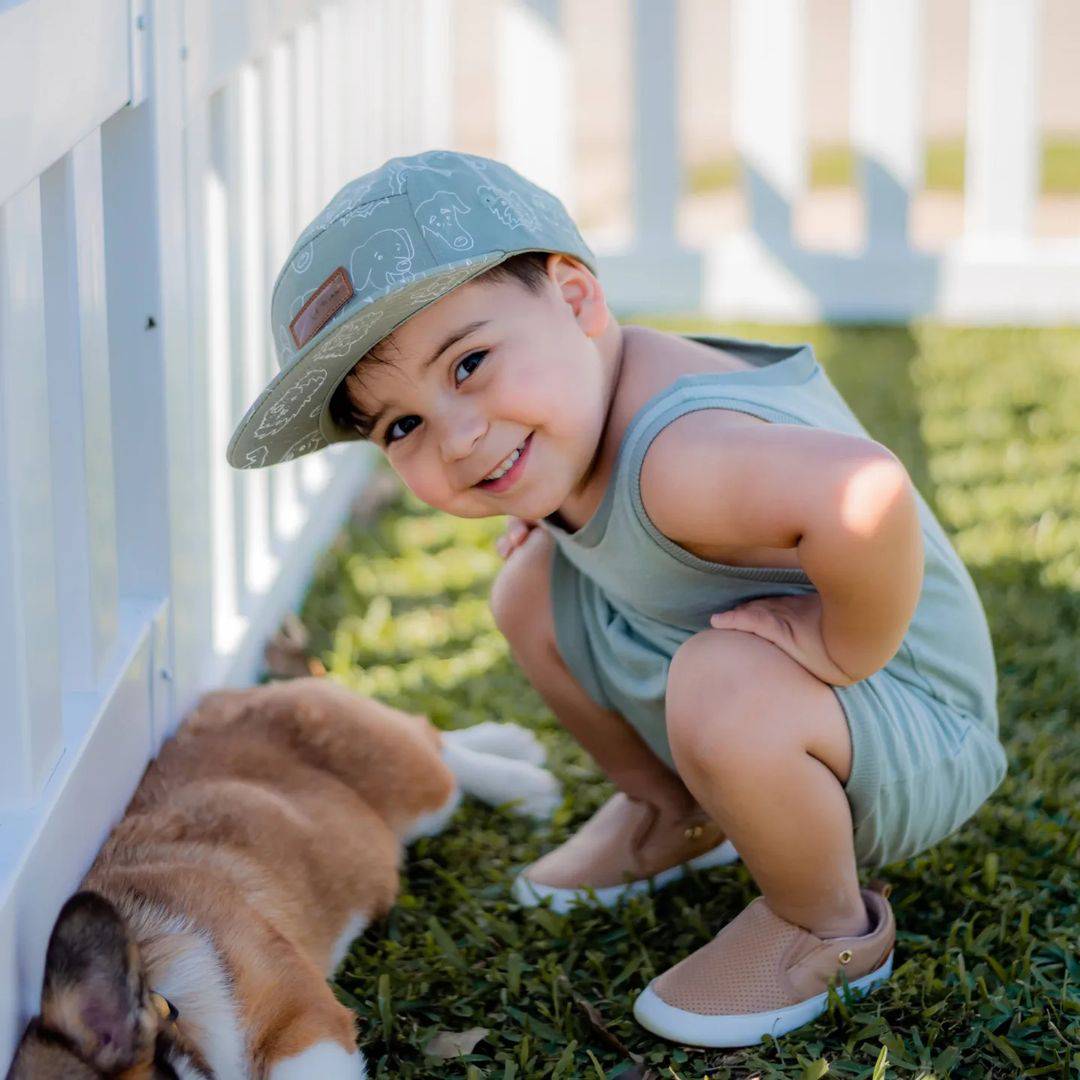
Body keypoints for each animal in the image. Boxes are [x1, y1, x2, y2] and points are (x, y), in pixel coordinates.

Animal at [8, 678, 561, 1075]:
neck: (157, 989)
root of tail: (253, 689)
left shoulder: (301, 1015)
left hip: (415, 789)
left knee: (437, 747)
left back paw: (525, 781)